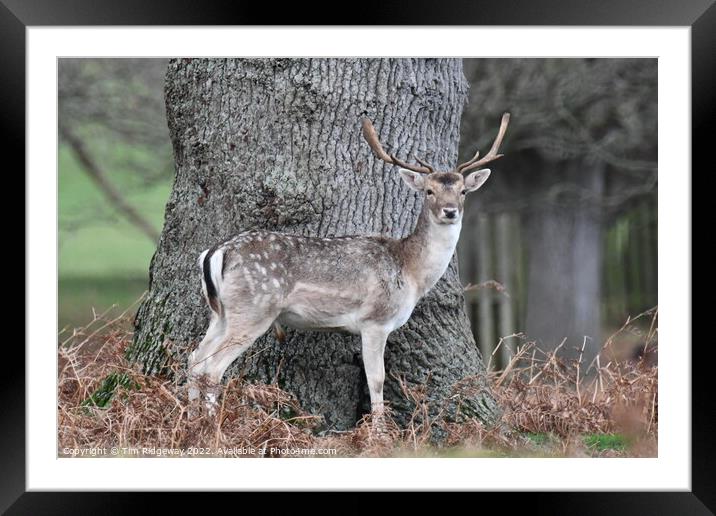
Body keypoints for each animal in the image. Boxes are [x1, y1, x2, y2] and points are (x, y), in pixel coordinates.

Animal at [185, 113, 510, 420]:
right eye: (429, 191)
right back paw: (210, 425)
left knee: (195, 359)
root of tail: (215, 252)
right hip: (253, 308)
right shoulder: (375, 320)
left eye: (463, 191)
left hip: (221, 312)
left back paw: (191, 420)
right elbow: (376, 380)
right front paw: (379, 433)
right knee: (212, 368)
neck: (411, 272)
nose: (450, 211)